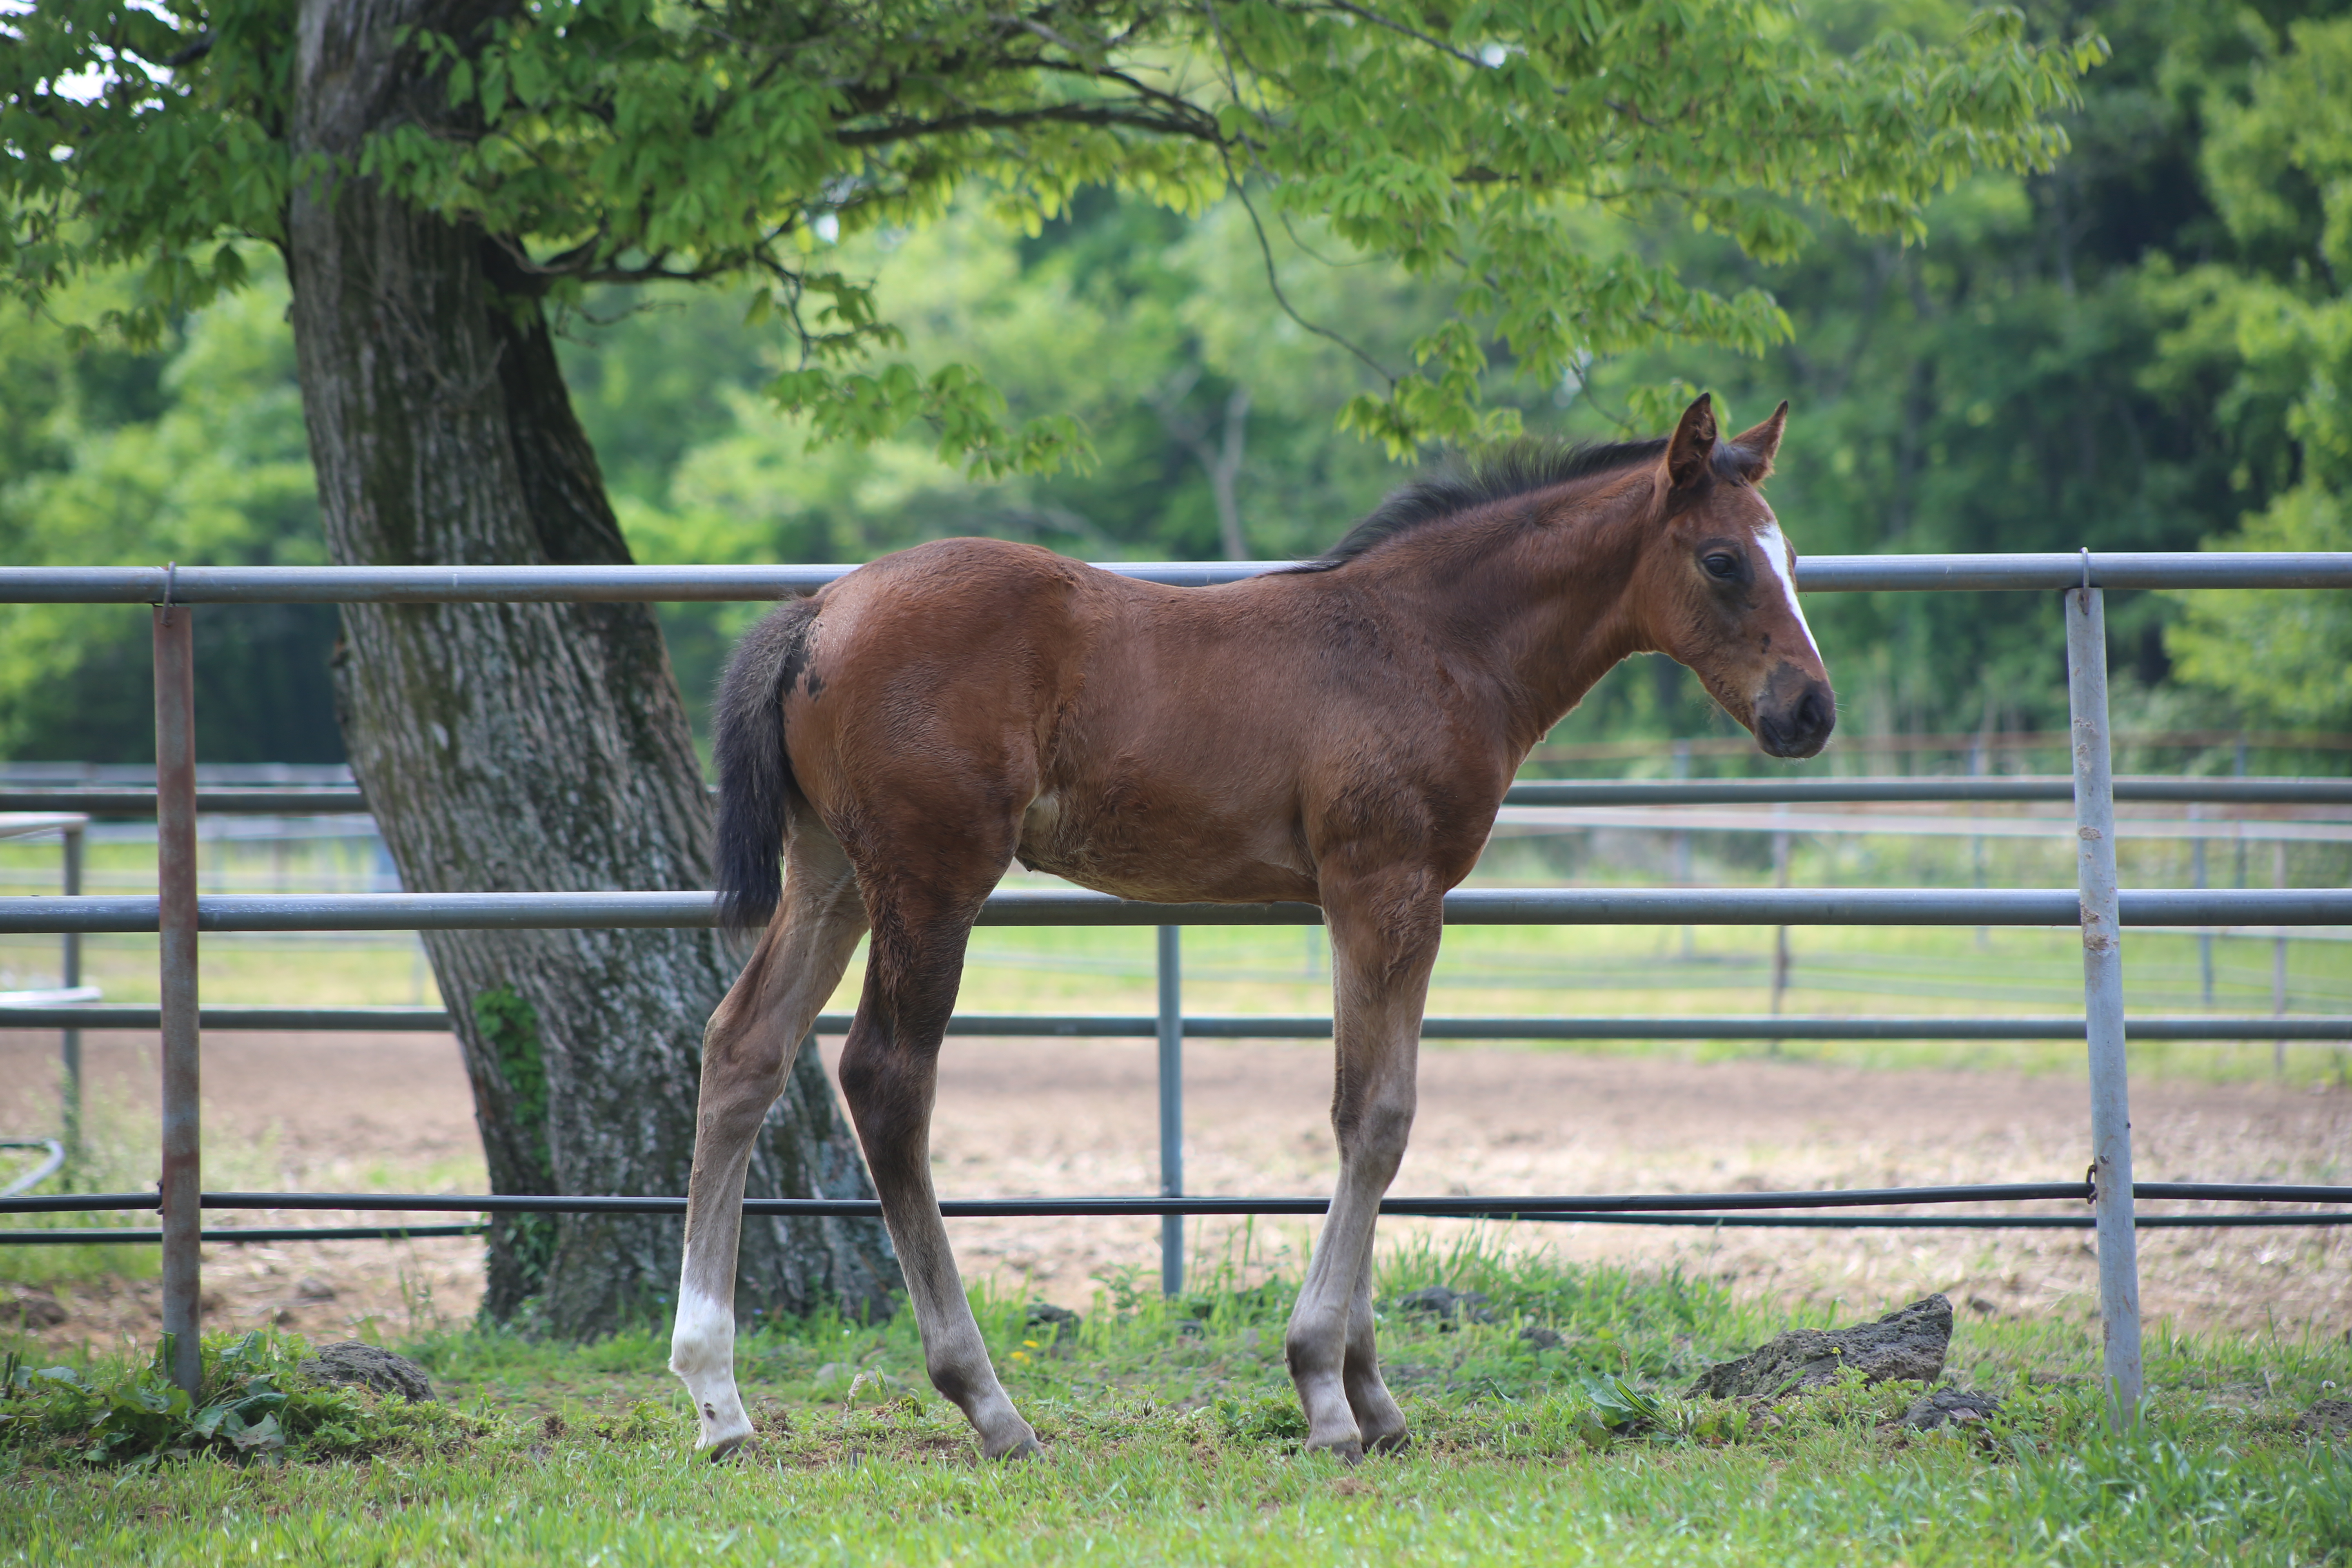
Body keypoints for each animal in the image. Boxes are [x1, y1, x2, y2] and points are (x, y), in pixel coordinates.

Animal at [668, 392, 1834, 1457]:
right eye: (1722, 560)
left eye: (1790, 556)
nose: (1809, 711)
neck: (1431, 640)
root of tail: (819, 610)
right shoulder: (1386, 886)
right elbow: (1377, 1117)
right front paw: (1326, 1391)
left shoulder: (1375, 901)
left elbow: (1369, 1106)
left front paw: (1371, 1395)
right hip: (930, 880)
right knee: (885, 1078)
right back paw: (988, 1403)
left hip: (832, 875)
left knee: (743, 1048)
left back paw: (718, 1399)